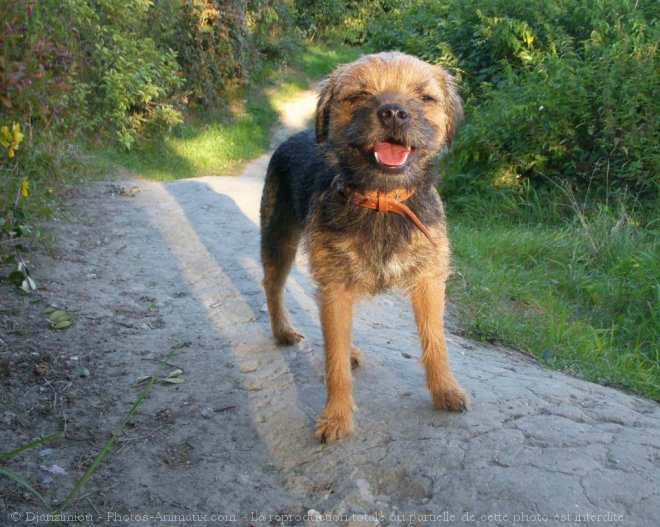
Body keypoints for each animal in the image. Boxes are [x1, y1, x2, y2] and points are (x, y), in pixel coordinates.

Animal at [260, 52, 466, 442]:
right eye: (359, 95)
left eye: (425, 97)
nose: (394, 112)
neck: (382, 201)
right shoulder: (335, 286)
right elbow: (335, 363)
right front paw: (336, 417)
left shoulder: (428, 280)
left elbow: (436, 340)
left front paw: (445, 389)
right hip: (278, 240)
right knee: (273, 287)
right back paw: (282, 332)